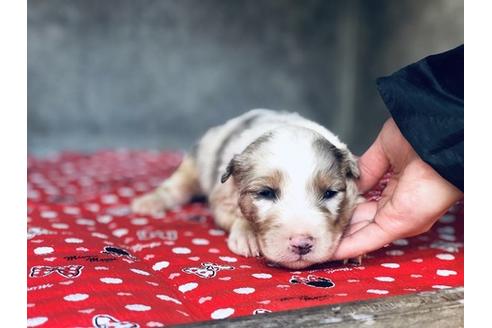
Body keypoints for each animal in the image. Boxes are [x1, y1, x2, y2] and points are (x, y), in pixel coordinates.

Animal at [133, 109, 360, 268]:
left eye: (329, 193)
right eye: (265, 193)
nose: (301, 244)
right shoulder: (222, 197)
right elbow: (234, 216)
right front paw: (246, 234)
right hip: (195, 161)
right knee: (177, 186)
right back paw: (148, 203)